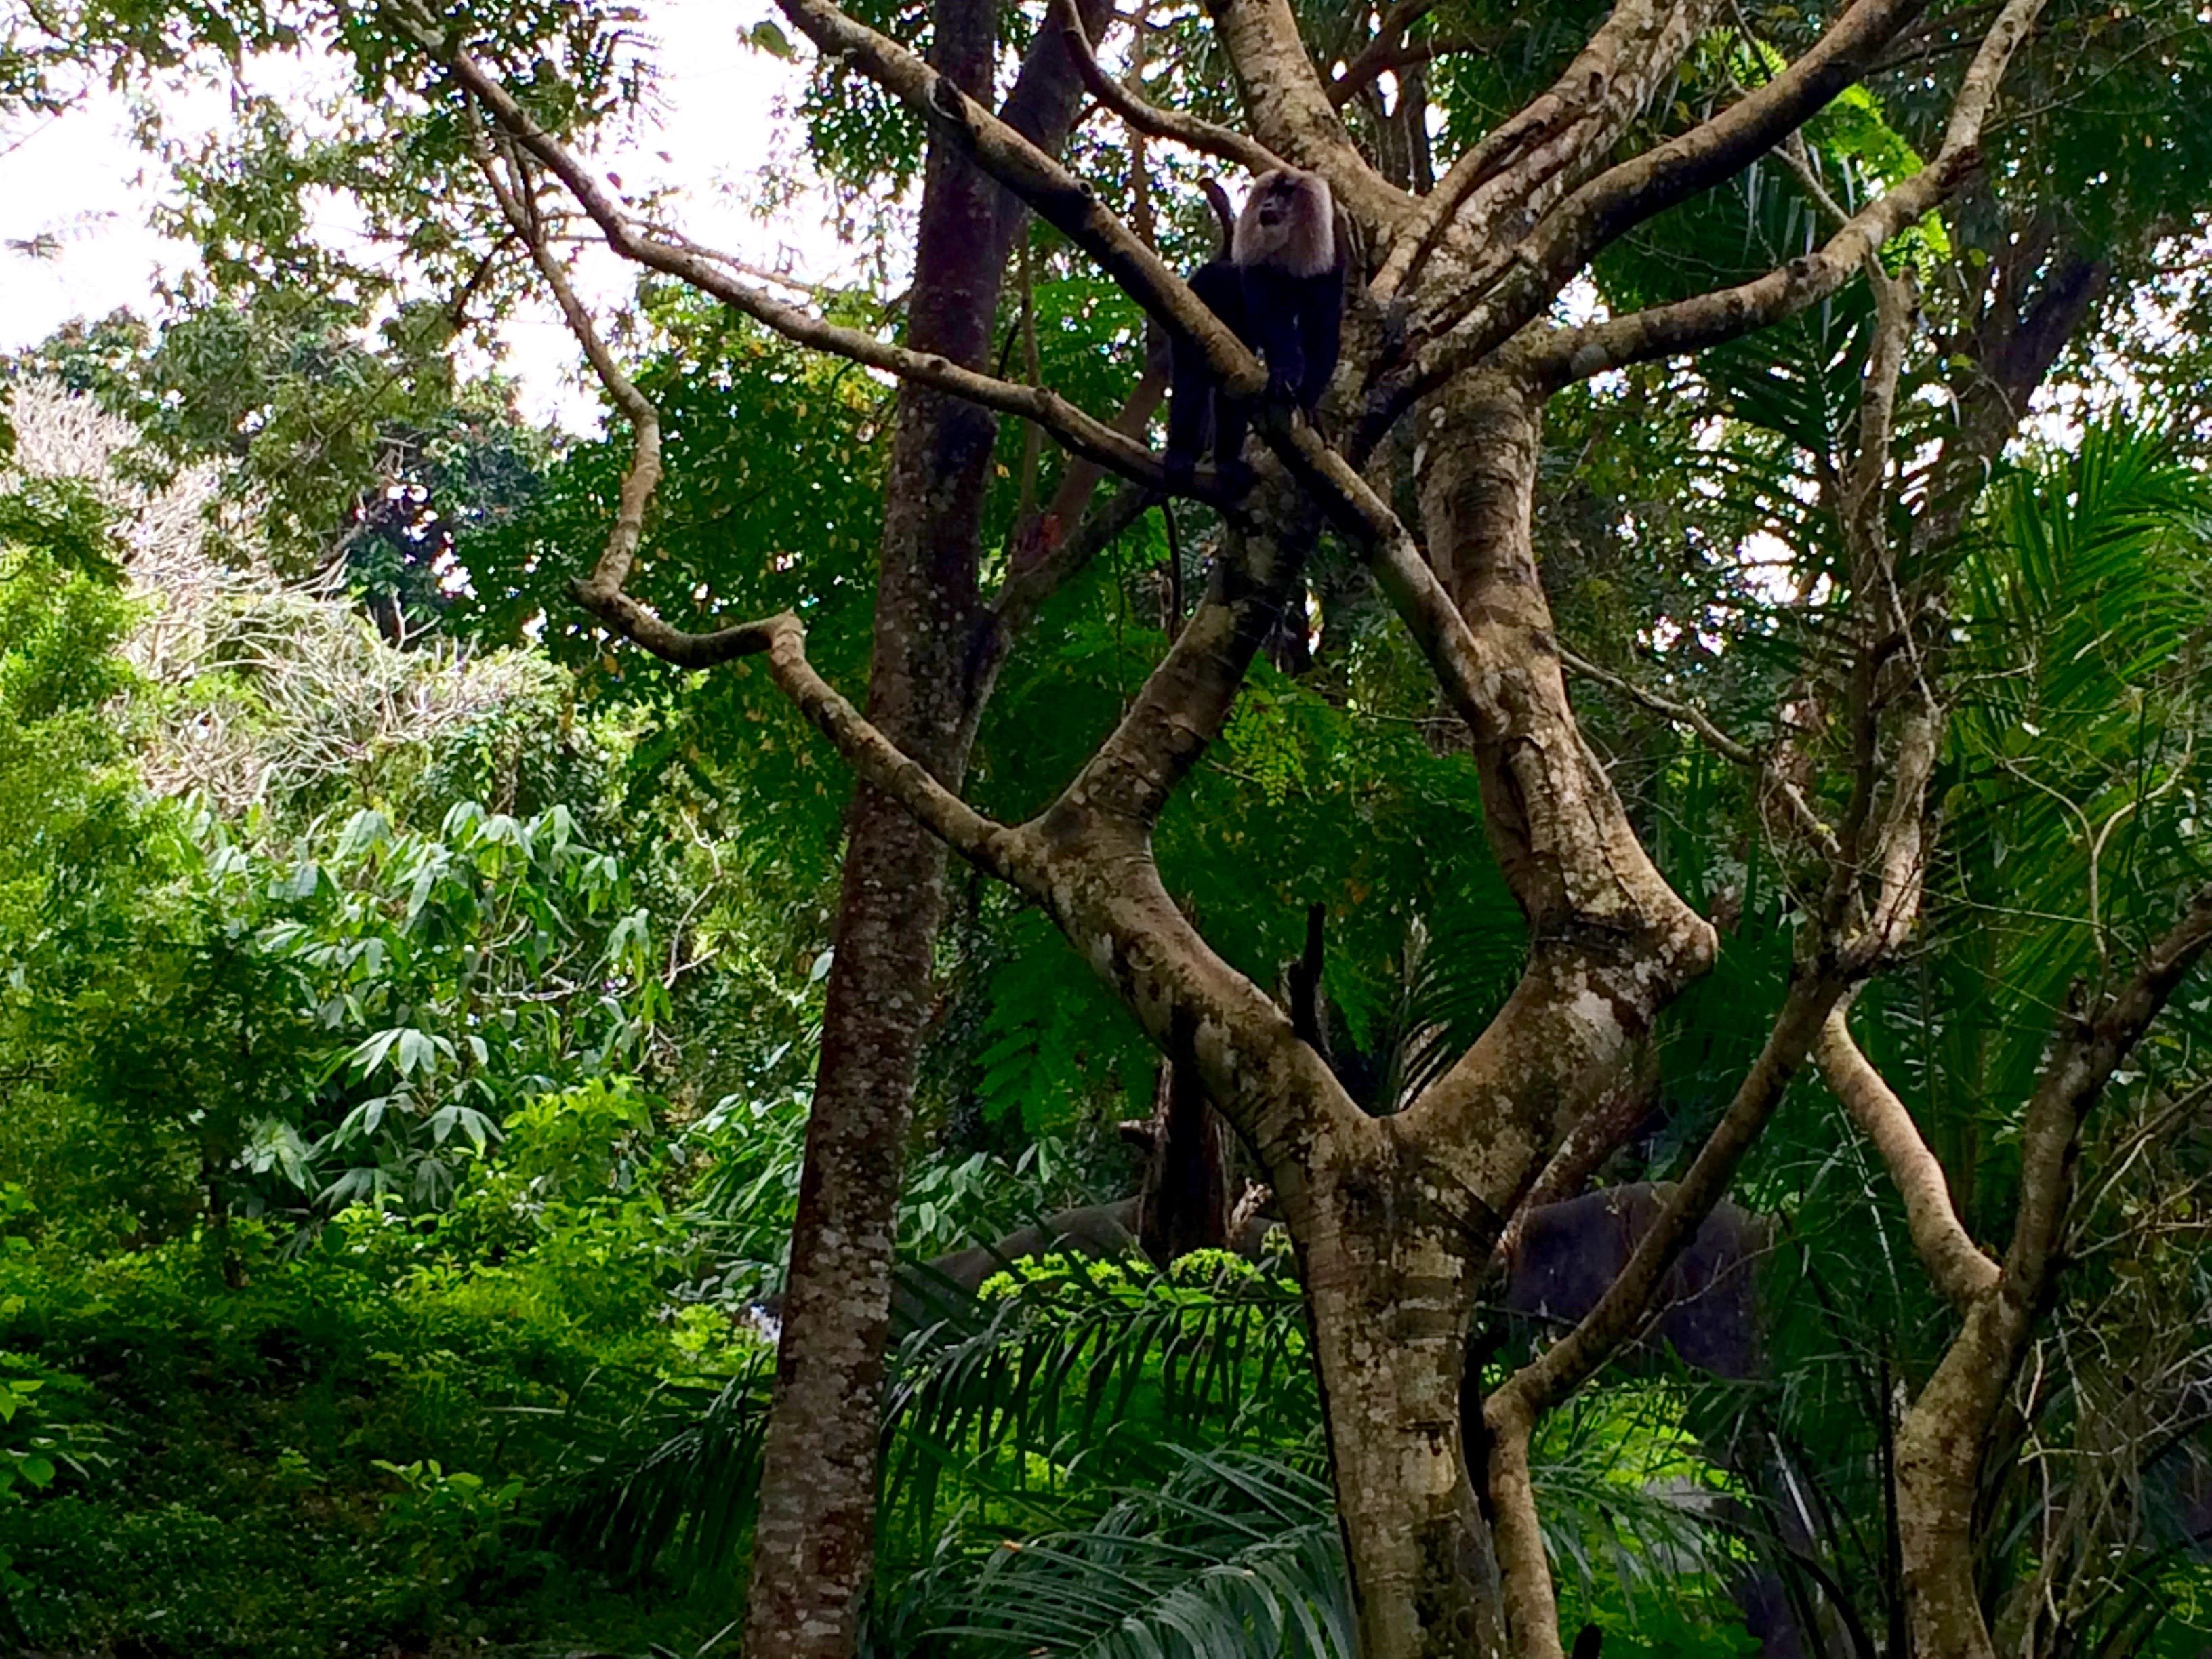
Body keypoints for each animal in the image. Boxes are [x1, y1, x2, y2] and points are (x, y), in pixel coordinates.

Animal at [1159, 169, 1345, 493]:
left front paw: (1307, 402)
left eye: (1285, 194)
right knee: (1194, 376)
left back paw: (1227, 463)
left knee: (1233, 382)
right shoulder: (1259, 271)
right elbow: (1274, 323)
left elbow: (1322, 331)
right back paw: (1180, 454)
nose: (1268, 204)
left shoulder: (1329, 268)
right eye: (1271, 192)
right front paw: (1285, 378)